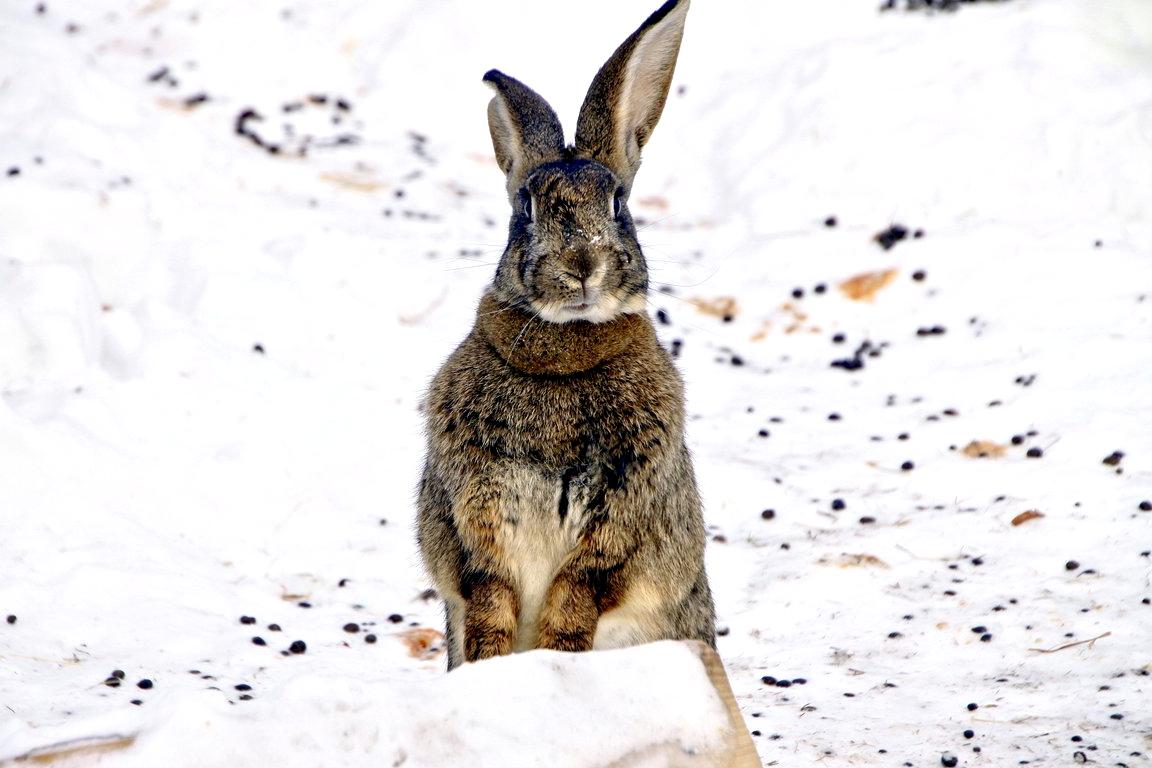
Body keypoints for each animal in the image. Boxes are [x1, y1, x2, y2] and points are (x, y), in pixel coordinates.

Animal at [419, 0, 709, 672]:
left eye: (619, 203)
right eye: (526, 207)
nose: (581, 264)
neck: (563, 351)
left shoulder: (620, 517)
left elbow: (579, 591)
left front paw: (558, 655)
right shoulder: (474, 518)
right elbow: (489, 593)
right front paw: (493, 663)